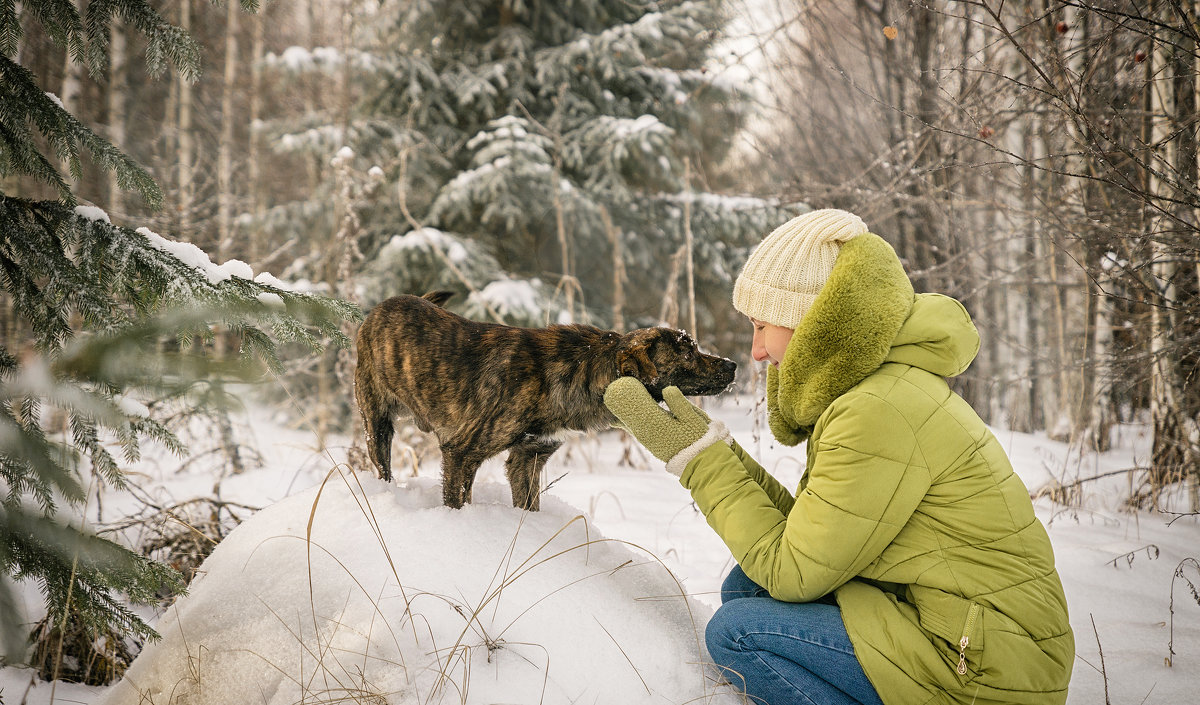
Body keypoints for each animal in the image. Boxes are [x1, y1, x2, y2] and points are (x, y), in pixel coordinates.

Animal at [350, 288, 734, 508]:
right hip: (377, 425)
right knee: (382, 466)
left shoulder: (529, 459)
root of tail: (381, 307)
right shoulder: (460, 453)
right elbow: (457, 502)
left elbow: (528, 506)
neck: (580, 371)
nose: (732, 365)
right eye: (688, 352)